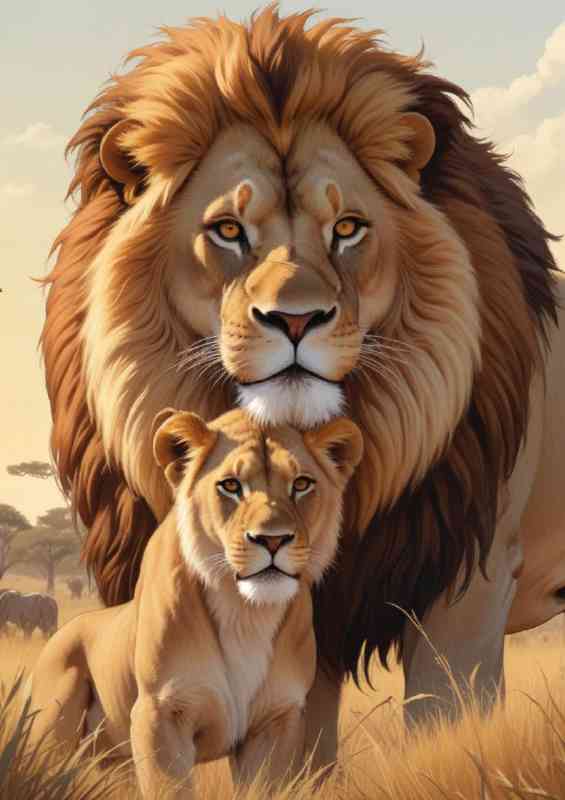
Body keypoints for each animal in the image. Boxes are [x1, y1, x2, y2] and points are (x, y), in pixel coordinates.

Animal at [27, 409, 363, 797]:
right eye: (230, 485)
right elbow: (169, 789)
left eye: (302, 484)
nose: (272, 540)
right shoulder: (160, 713)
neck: (244, 613)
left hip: (116, 760)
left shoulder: (276, 719)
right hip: (54, 731)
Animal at [40, 3, 563, 770]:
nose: (295, 319)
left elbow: (445, 719)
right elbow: (298, 758)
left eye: (346, 228)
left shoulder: (470, 582)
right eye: (228, 230)